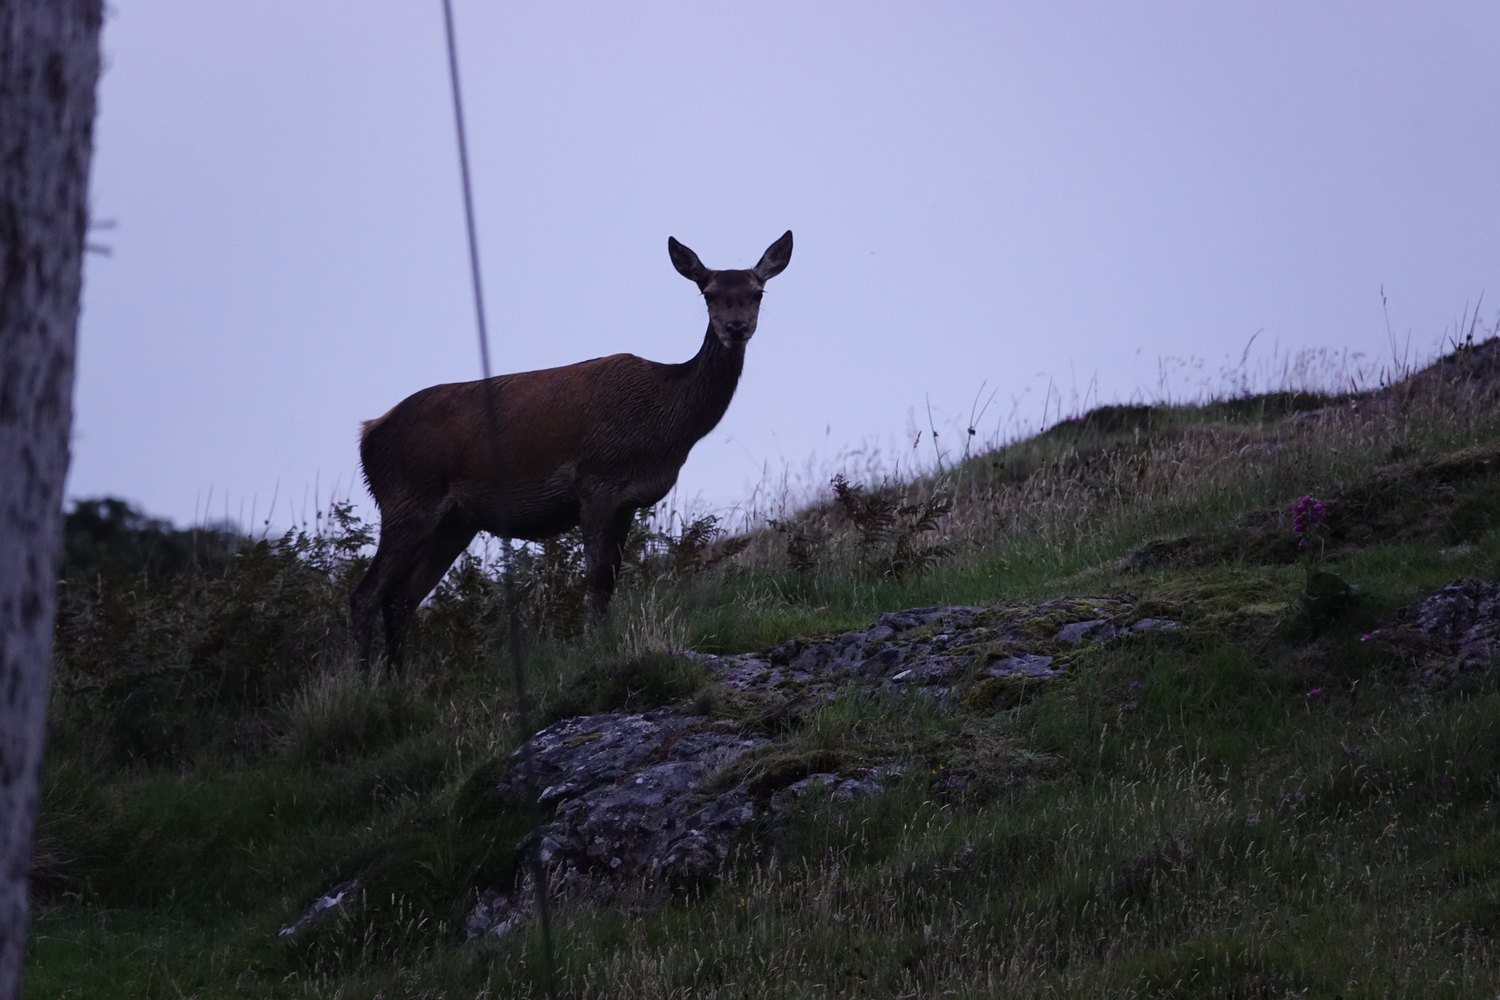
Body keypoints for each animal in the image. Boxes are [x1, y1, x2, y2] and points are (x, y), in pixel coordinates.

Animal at [350, 230, 794, 667]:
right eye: (708, 292)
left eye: (757, 292)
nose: (736, 327)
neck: (664, 426)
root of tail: (368, 436)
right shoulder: (594, 478)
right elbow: (595, 574)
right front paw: (593, 645)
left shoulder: (628, 498)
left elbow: (612, 574)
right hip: (407, 498)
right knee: (366, 594)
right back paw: (366, 681)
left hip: (455, 521)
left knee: (401, 598)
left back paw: (397, 678)